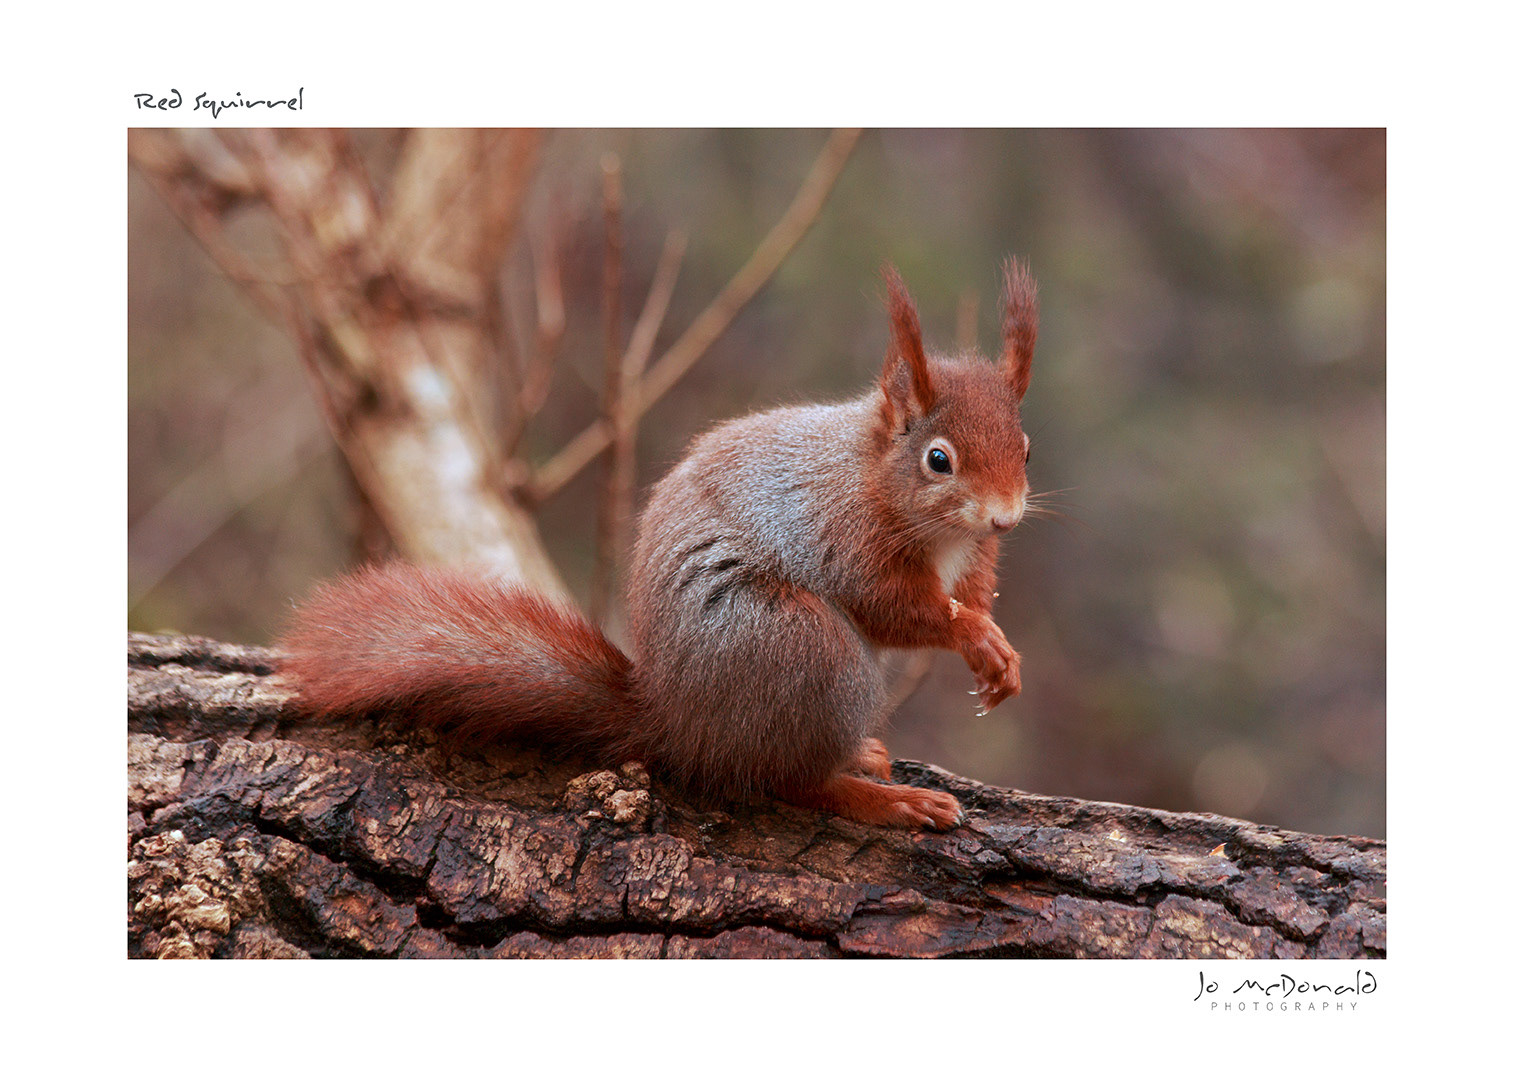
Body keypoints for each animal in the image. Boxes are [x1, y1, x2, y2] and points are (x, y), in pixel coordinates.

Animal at [279, 260, 1039, 832]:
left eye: (1026, 449)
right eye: (939, 460)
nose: (1005, 519)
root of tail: (677, 721)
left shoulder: (972, 556)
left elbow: (971, 591)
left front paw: (999, 654)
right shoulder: (843, 534)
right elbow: (892, 607)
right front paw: (974, 636)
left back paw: (868, 757)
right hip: (807, 652)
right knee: (793, 781)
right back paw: (886, 797)